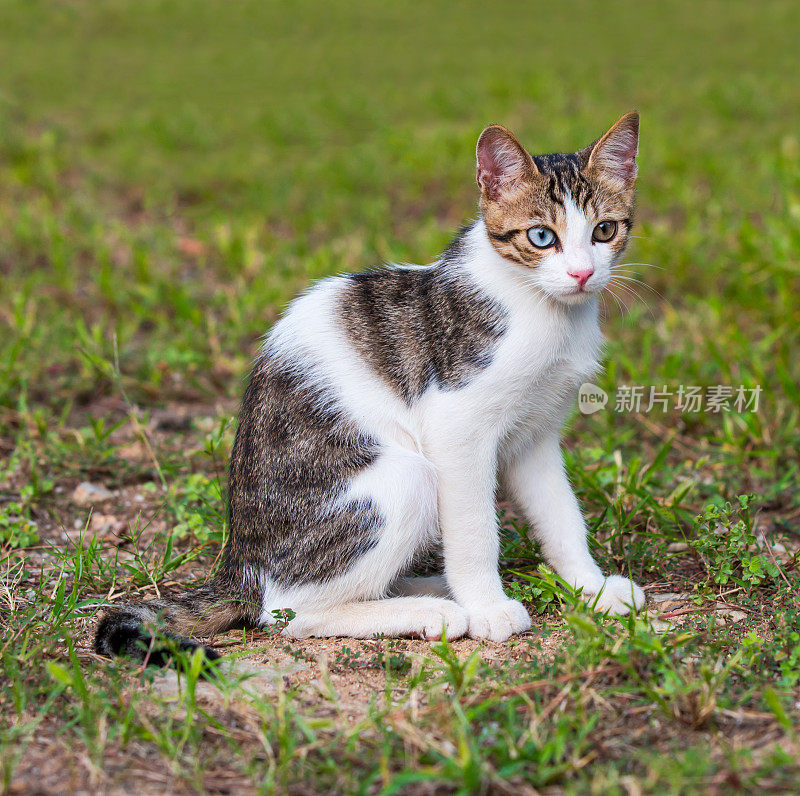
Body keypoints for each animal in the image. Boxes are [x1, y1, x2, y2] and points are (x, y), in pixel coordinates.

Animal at [95, 110, 644, 660]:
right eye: (541, 237)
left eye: (604, 230)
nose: (582, 274)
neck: (545, 309)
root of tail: (240, 565)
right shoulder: (457, 424)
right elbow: (473, 528)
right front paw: (488, 607)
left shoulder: (536, 434)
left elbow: (562, 515)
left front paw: (593, 588)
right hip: (406, 480)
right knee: (289, 612)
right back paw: (431, 610)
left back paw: (429, 587)